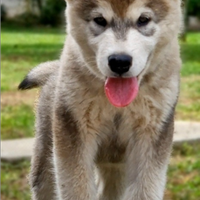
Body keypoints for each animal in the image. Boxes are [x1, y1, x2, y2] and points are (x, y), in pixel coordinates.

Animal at [19, 0, 183, 200]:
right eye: (100, 20)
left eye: (143, 19)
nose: (119, 61)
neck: (119, 106)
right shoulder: (74, 133)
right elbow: (77, 189)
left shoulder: (151, 135)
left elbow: (145, 189)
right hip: (45, 159)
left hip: (116, 168)